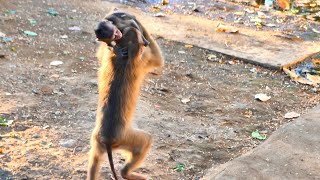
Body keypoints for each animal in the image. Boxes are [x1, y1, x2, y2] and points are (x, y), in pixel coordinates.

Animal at [87, 11, 164, 180]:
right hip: (125, 138)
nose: (117, 31)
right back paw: (126, 173)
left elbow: (101, 53)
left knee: (94, 160)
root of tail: (107, 139)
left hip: (96, 141)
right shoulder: (142, 60)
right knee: (145, 141)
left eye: (117, 32)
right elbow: (158, 60)